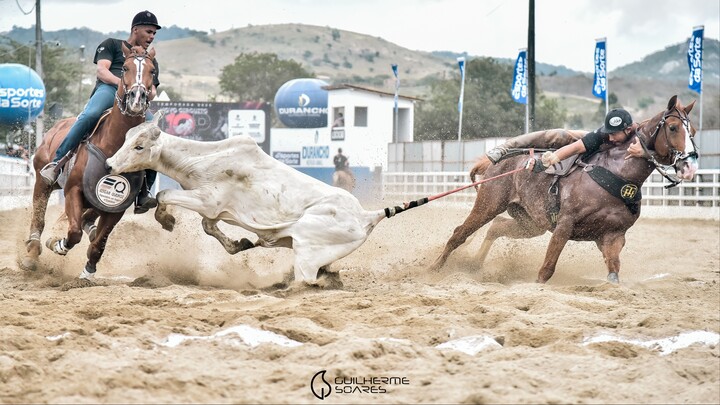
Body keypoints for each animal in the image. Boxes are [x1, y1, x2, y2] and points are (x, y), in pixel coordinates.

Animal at [21, 44, 157, 279]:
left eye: (152, 71)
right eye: (125, 68)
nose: (137, 97)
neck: (113, 145)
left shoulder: (116, 207)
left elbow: (99, 243)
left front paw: (87, 273)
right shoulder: (73, 190)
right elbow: (74, 233)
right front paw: (57, 244)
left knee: (87, 221)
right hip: (42, 181)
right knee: (39, 216)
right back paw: (32, 252)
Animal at [429, 95, 698, 284]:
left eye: (693, 131)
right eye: (673, 128)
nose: (689, 167)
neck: (617, 173)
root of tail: (498, 164)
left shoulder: (614, 236)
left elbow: (613, 274)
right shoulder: (564, 225)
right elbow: (546, 270)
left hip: (530, 223)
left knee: (497, 227)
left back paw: (474, 266)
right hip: (489, 204)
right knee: (460, 233)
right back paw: (433, 269)